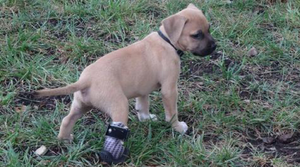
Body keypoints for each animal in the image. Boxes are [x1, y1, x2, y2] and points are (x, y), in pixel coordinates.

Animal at [35, 3, 216, 141]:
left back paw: (65, 139)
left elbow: (142, 105)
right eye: (196, 35)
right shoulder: (169, 90)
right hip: (119, 106)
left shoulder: (142, 89)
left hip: (81, 105)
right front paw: (177, 127)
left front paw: (146, 119)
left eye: (209, 29)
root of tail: (85, 80)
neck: (167, 41)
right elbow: (171, 113)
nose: (214, 46)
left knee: (67, 120)